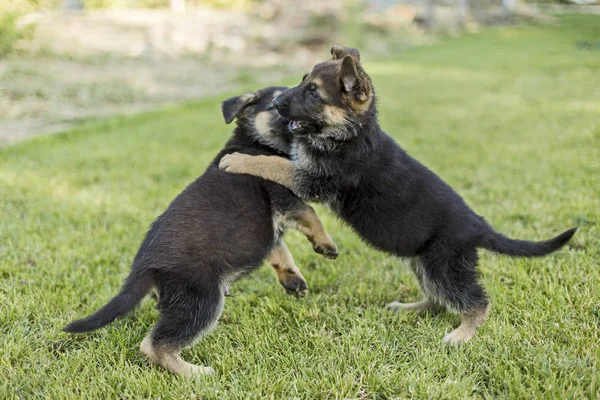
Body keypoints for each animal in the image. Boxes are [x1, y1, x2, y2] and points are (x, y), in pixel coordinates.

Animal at [65, 86, 340, 376]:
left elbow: (279, 250)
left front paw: (292, 279)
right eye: (277, 104)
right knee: (154, 346)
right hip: (203, 299)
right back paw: (196, 374)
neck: (253, 141)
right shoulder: (285, 198)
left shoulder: (268, 225)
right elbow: (311, 214)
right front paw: (326, 245)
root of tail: (143, 270)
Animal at [217, 47, 576, 346]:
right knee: (437, 299)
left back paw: (463, 333)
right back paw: (410, 308)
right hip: (424, 262)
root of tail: (478, 225)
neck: (352, 133)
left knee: (475, 300)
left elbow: (275, 164)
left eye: (314, 92)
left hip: (445, 265)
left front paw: (238, 160)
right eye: (302, 82)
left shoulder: (315, 180)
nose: (277, 104)